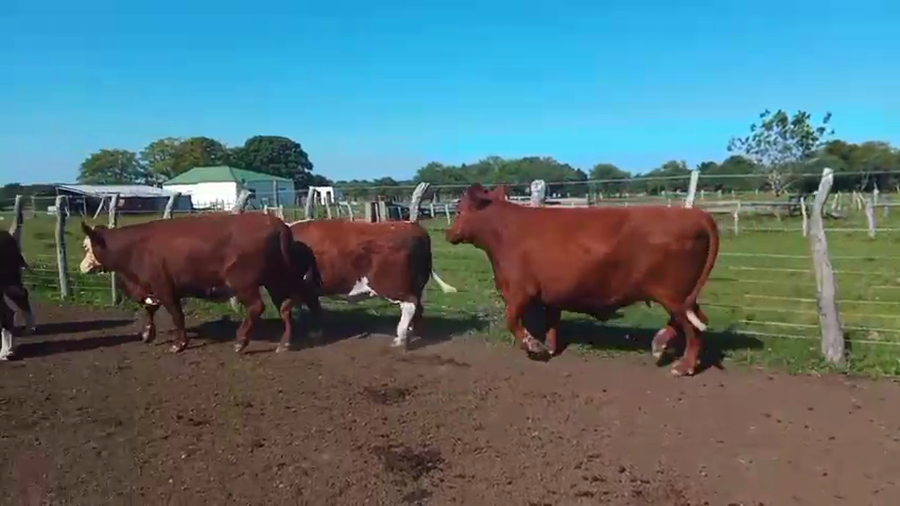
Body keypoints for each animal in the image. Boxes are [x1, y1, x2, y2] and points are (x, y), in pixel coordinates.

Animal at [79, 212, 321, 354]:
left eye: (87, 246)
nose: (82, 267)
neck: (137, 247)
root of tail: (278, 223)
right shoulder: (153, 289)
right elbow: (150, 309)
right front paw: (148, 334)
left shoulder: (165, 288)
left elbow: (176, 315)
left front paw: (179, 344)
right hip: (276, 280)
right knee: (285, 307)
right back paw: (284, 343)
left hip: (244, 282)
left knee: (256, 307)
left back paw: (241, 341)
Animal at [229, 219, 458, 349]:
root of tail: (414, 227)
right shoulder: (309, 289)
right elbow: (315, 308)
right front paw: (317, 331)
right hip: (415, 284)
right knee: (418, 307)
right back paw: (413, 332)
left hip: (393, 286)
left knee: (410, 305)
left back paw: (400, 337)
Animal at [445, 184, 719, 377]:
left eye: (458, 210)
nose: (449, 233)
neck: (505, 231)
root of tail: (696, 215)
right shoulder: (550, 295)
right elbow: (552, 322)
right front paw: (550, 347)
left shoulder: (521, 291)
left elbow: (512, 320)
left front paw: (534, 346)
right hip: (681, 295)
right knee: (693, 320)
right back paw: (661, 345)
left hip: (672, 293)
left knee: (692, 327)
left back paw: (683, 366)